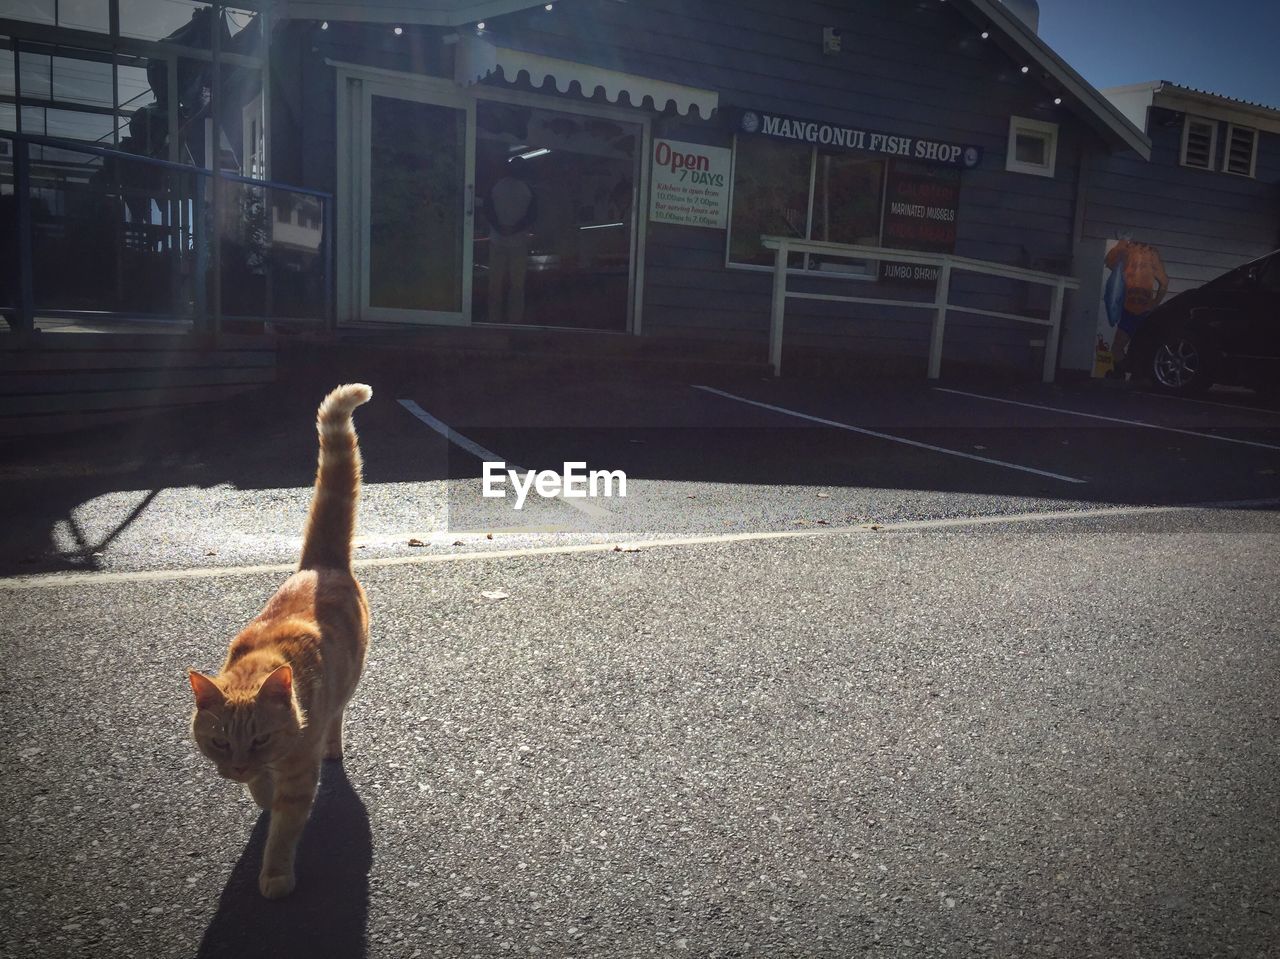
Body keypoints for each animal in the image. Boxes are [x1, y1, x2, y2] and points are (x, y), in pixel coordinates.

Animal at [188, 381, 373, 896]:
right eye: (220, 743)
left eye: (261, 739)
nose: (237, 767)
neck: (259, 664)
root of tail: (318, 565)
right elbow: (262, 795)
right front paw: (258, 791)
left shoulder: (297, 776)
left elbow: (285, 827)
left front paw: (274, 874)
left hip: (347, 682)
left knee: (337, 715)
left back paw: (332, 744)